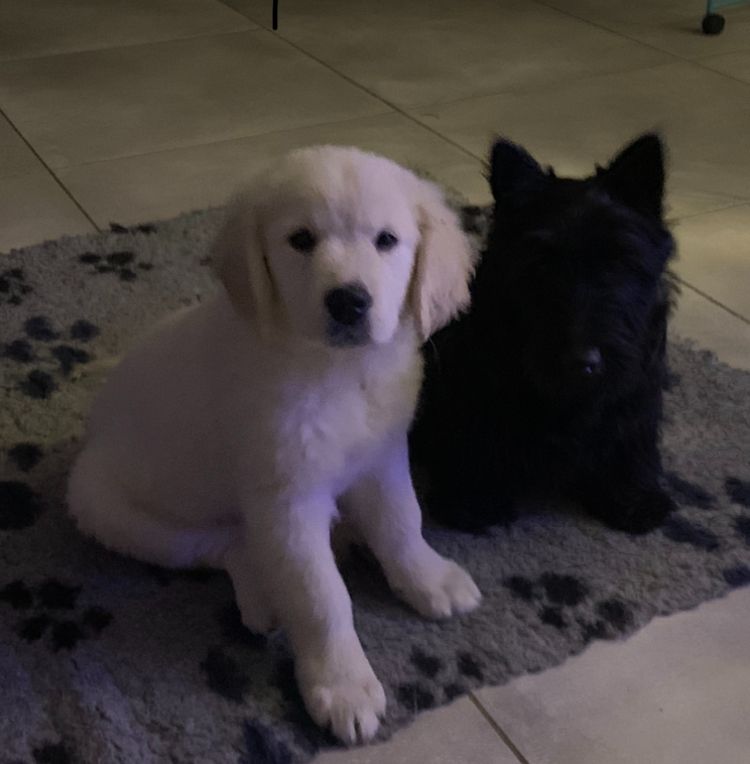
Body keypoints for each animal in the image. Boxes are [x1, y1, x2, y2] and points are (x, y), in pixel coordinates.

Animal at [67, 146, 480, 745]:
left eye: (386, 240)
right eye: (301, 240)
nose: (349, 302)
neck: (337, 371)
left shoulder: (382, 456)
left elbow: (404, 520)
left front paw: (428, 578)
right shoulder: (287, 499)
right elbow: (319, 595)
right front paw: (343, 686)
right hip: (108, 507)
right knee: (226, 546)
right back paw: (263, 598)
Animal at [410, 133, 678, 535]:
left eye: (618, 261)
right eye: (540, 263)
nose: (582, 362)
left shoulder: (635, 393)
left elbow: (631, 437)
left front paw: (634, 498)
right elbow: (477, 437)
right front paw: (474, 499)